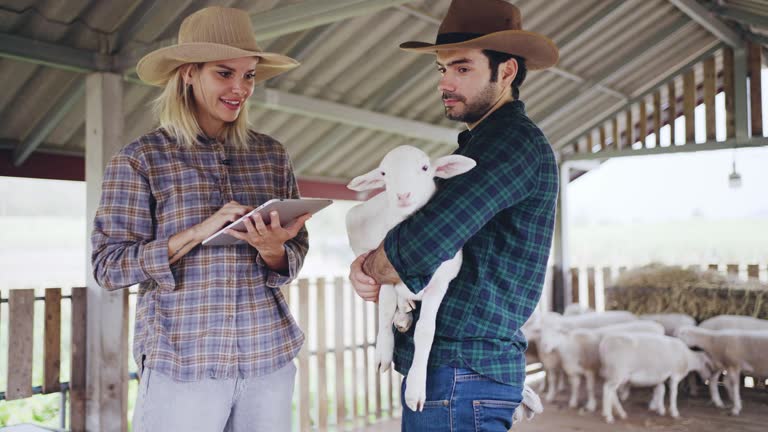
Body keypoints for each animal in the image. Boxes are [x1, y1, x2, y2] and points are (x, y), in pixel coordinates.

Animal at [346, 146, 474, 412]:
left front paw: (416, 389)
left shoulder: (440, 283)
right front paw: (382, 354)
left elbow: (425, 331)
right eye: (384, 173)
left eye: (425, 168)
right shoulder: (383, 272)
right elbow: (384, 311)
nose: (402, 195)